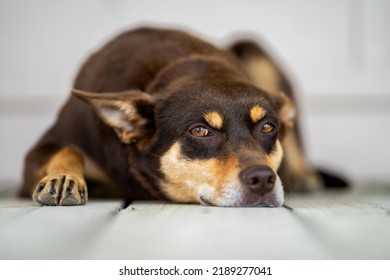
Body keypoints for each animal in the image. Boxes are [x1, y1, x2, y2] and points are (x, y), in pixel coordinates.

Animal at [19, 27, 330, 207]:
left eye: (267, 127)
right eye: (200, 131)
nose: (263, 179)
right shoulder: (43, 149)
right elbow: (69, 149)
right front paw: (63, 177)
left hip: (252, 46)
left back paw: (303, 174)